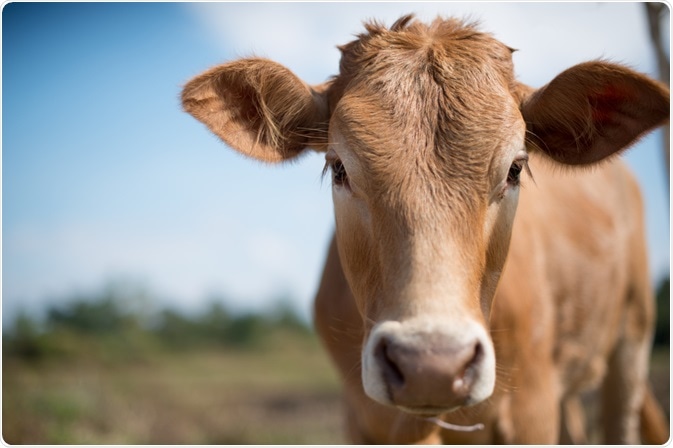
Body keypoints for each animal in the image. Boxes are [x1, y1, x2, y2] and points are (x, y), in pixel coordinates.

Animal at [181, 15, 669, 444]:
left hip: (632, 337)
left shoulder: (534, 408)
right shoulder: (360, 417)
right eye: (338, 168)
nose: (431, 365)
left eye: (515, 169)